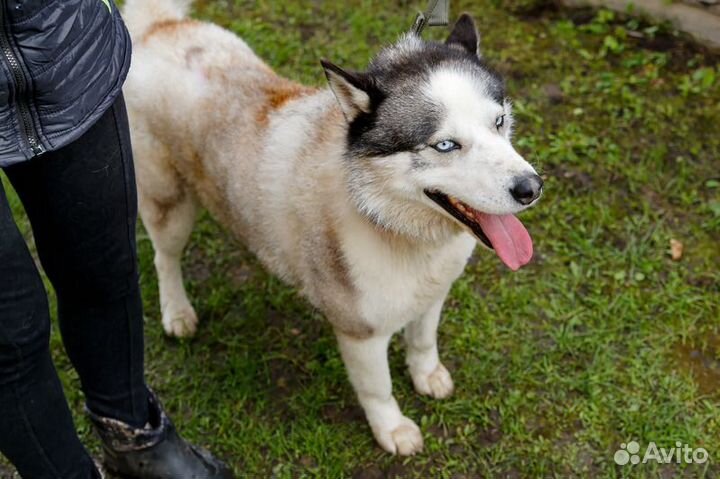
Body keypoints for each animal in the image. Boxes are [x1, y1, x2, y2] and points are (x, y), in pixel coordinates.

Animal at [122, 0, 540, 456]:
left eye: (498, 121)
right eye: (445, 145)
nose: (531, 188)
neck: (385, 217)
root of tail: (158, 26)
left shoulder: (433, 293)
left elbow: (423, 340)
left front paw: (427, 375)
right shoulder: (360, 333)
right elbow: (378, 389)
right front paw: (393, 429)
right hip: (169, 204)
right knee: (165, 257)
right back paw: (177, 312)